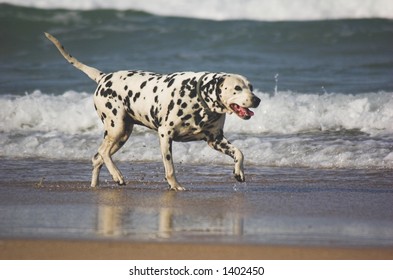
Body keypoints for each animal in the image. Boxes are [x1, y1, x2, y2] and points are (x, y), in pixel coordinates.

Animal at [46, 32, 258, 190]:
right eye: (237, 88)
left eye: (251, 86)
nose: (257, 99)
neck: (198, 98)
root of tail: (103, 77)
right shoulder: (165, 135)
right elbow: (170, 168)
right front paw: (175, 185)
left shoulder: (215, 140)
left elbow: (239, 153)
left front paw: (239, 172)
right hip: (116, 128)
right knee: (104, 153)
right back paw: (117, 175)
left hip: (122, 135)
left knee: (97, 157)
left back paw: (96, 185)